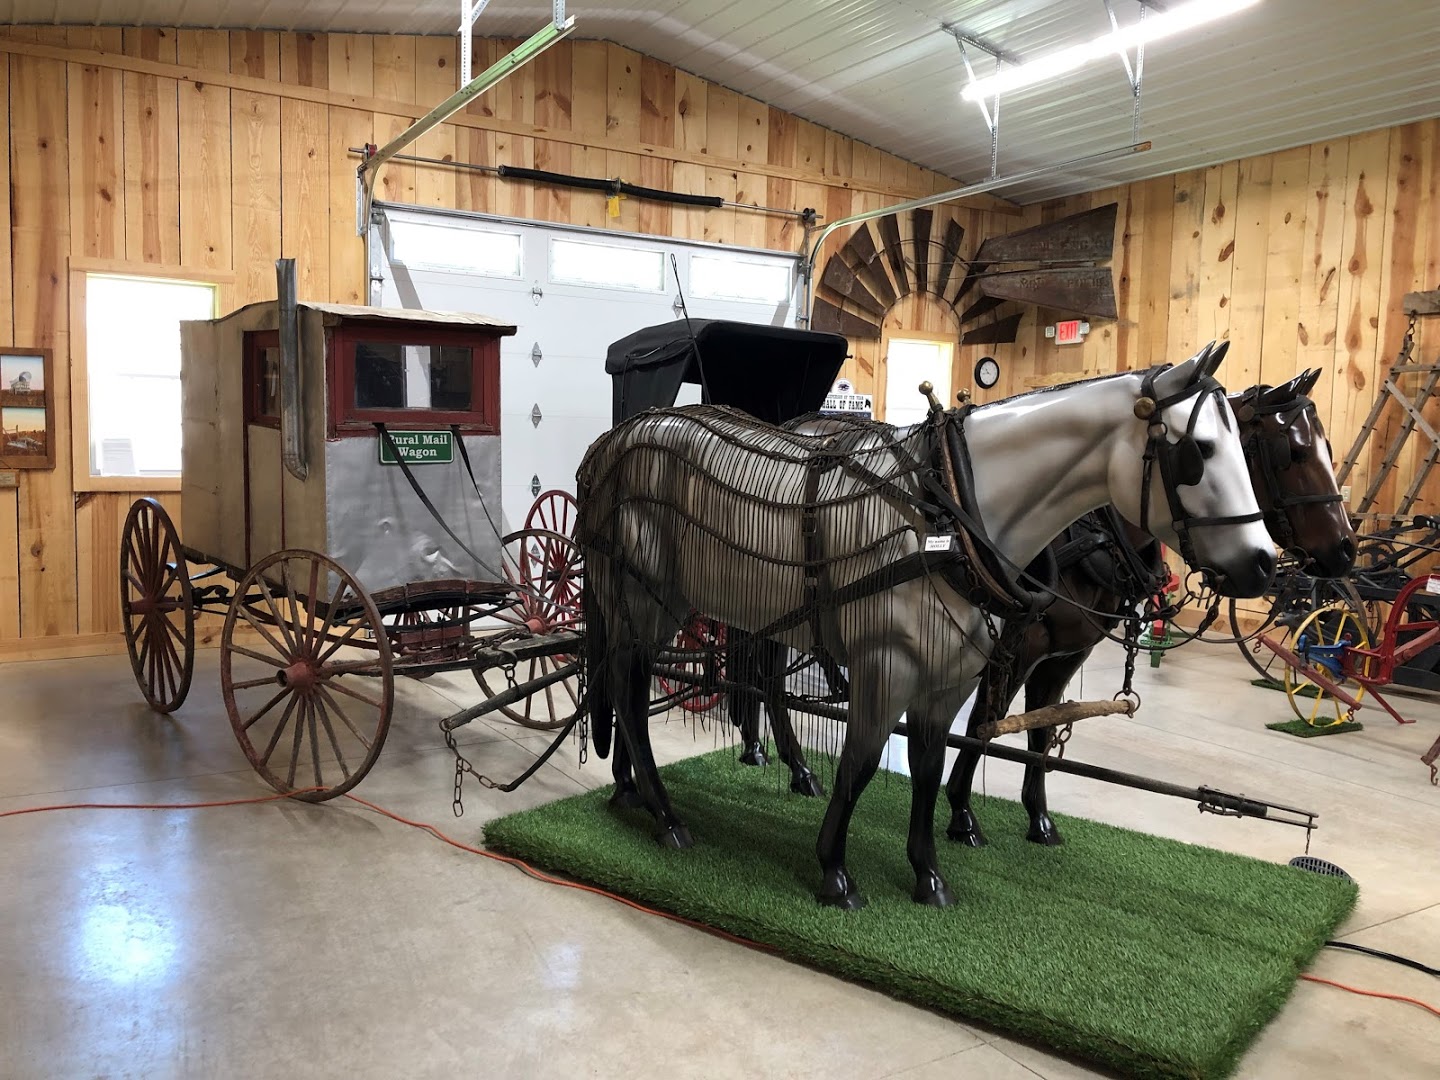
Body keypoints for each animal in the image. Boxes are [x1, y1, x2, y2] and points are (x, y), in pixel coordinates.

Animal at [576, 344, 1275, 909]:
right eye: (1198, 453)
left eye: (1248, 451)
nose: (1264, 563)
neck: (949, 513)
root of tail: (618, 438)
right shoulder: (886, 666)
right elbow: (860, 765)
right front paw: (835, 872)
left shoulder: (950, 678)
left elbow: (930, 765)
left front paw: (928, 875)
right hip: (648, 601)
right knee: (632, 694)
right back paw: (666, 816)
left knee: (637, 682)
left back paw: (632, 792)